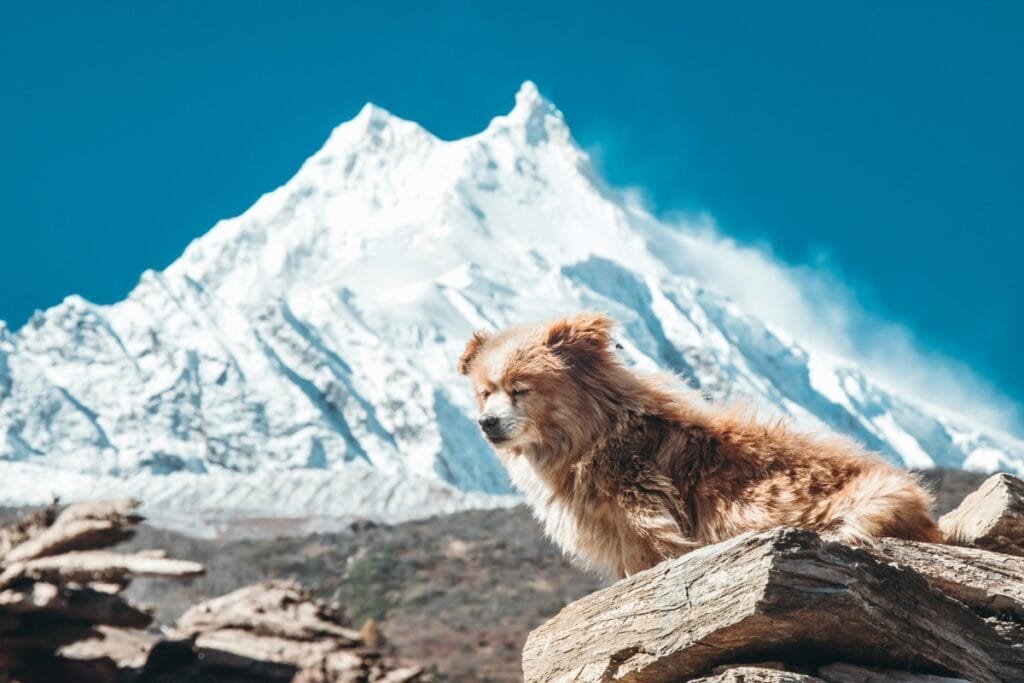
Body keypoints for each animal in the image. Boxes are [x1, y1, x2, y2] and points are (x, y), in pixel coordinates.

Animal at [460, 313, 937, 577]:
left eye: (520, 389)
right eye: (484, 393)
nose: (487, 424)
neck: (591, 433)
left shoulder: (644, 516)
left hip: (873, 502)